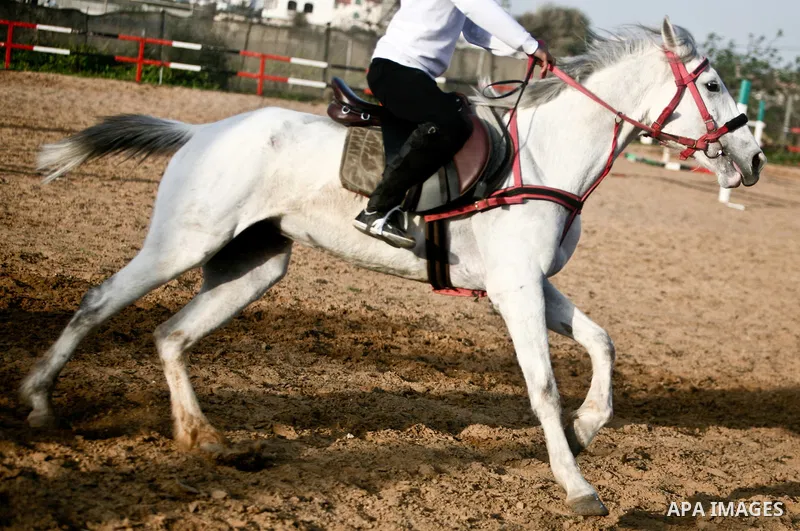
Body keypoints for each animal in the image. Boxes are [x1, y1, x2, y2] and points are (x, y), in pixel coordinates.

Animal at [20, 18, 765, 516]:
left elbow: (602, 343)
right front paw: (577, 483)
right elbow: (544, 387)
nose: (753, 158)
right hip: (183, 243)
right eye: (713, 82)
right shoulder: (516, 291)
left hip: (251, 266)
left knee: (171, 334)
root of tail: (201, 132)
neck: (545, 155)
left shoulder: (529, 285)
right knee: (98, 300)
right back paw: (38, 403)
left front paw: (585, 431)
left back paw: (205, 439)